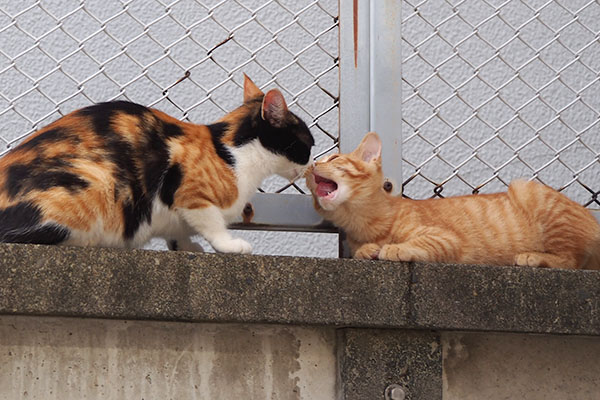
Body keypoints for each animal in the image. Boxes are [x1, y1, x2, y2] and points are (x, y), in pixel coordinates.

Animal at [0, 74, 316, 253]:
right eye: (308, 143)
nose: (312, 166)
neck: (234, 154)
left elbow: (178, 232)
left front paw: (187, 247)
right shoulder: (189, 193)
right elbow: (211, 223)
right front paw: (229, 245)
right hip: (93, 184)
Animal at [308, 131, 600, 268]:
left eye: (334, 158)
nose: (311, 165)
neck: (365, 223)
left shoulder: (446, 238)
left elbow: (422, 243)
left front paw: (395, 248)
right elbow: (360, 250)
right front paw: (368, 249)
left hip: (526, 189)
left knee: (570, 261)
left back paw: (532, 257)